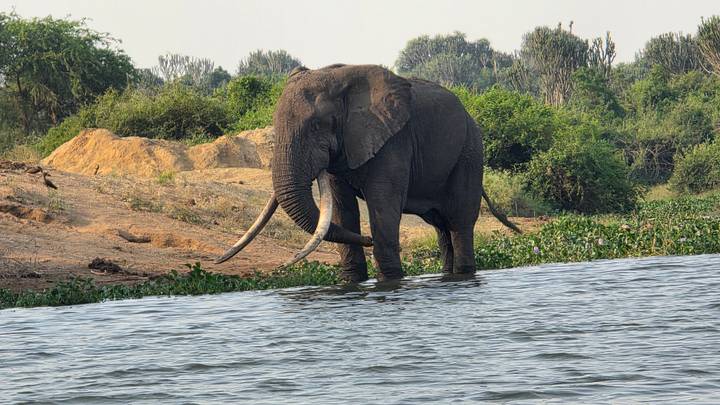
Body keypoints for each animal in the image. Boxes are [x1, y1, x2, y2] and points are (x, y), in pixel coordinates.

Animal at [217, 64, 519, 282]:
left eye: (316, 126)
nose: (368, 239)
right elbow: (342, 209)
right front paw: (352, 282)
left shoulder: (393, 141)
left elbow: (383, 206)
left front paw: (390, 279)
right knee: (441, 228)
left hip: (470, 152)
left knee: (459, 222)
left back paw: (464, 274)